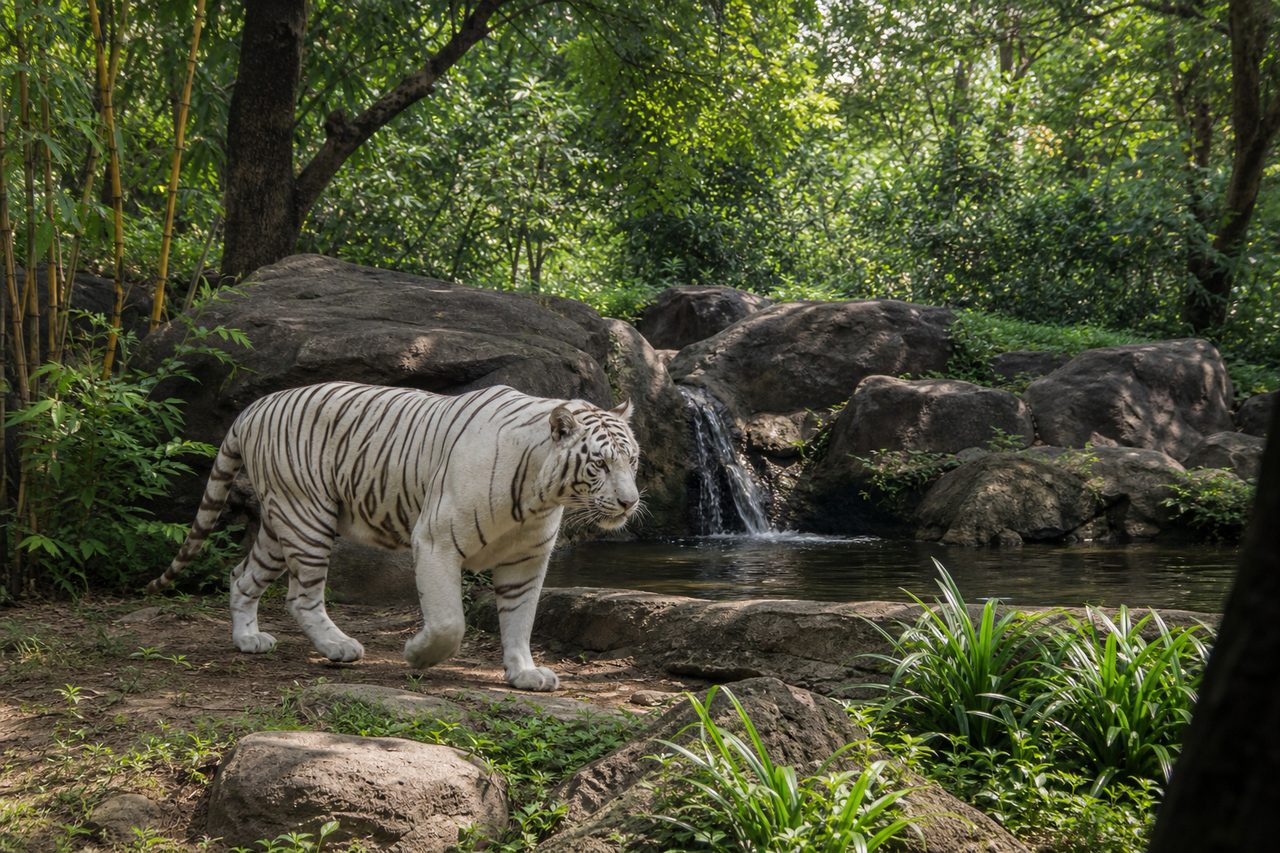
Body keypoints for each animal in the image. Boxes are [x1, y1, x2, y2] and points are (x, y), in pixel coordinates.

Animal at [145, 381, 640, 692]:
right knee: (300, 596)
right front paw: (417, 655)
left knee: (241, 576)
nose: (629, 502)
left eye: (632, 460)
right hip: (308, 517)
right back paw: (338, 647)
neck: (540, 494)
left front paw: (525, 674)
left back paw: (248, 639)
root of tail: (255, 407)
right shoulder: (437, 540)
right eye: (599, 464)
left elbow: (520, 620)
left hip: (279, 523)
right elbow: (449, 623)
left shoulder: (525, 560)